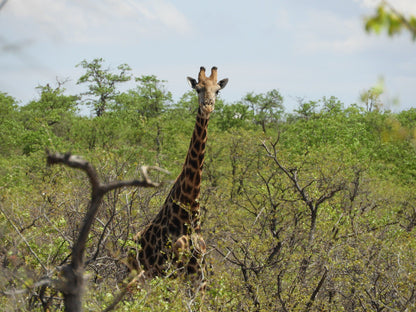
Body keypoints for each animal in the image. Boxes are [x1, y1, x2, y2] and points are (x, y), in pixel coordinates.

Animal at [129, 67, 229, 290]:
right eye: (197, 88)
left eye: (217, 91)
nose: (207, 106)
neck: (188, 214)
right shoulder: (169, 272)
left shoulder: (199, 278)